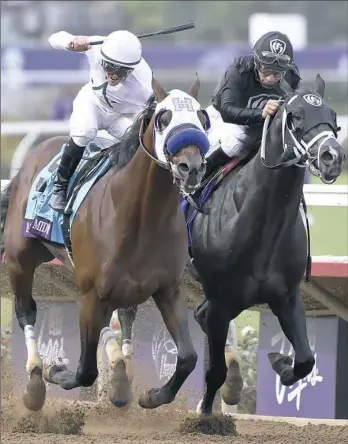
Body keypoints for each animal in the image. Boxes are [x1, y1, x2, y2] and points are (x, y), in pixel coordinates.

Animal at [1, 78, 211, 412]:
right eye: (164, 118)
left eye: (203, 118)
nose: (190, 167)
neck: (142, 216)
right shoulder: (92, 293)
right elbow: (85, 371)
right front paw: (55, 370)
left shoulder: (169, 289)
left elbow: (189, 357)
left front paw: (152, 396)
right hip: (20, 259)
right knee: (26, 310)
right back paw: (35, 380)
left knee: (120, 320)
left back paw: (121, 378)